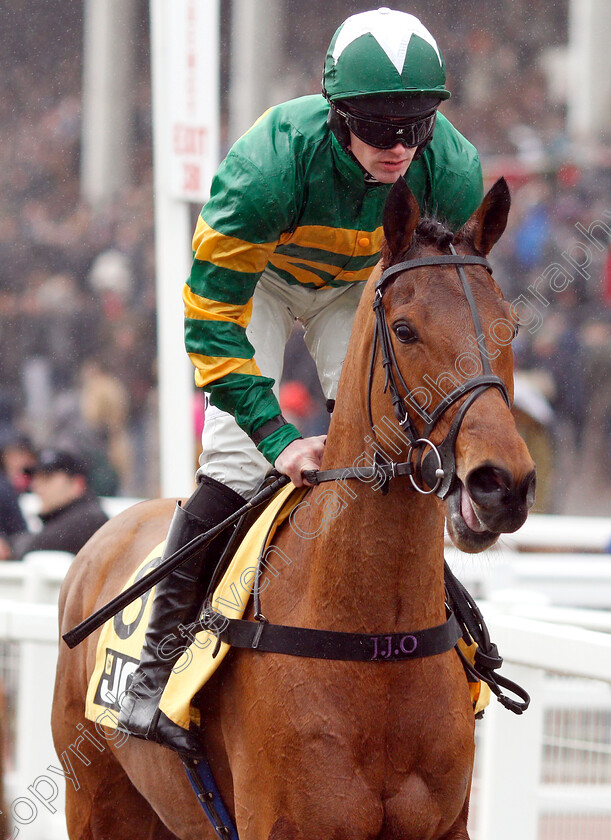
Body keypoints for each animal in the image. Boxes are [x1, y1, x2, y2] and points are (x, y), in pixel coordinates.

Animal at [55, 174, 536, 836]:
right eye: (405, 329)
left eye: (508, 326)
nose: (501, 483)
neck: (374, 638)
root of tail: (111, 528)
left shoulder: (445, 824)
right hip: (96, 799)